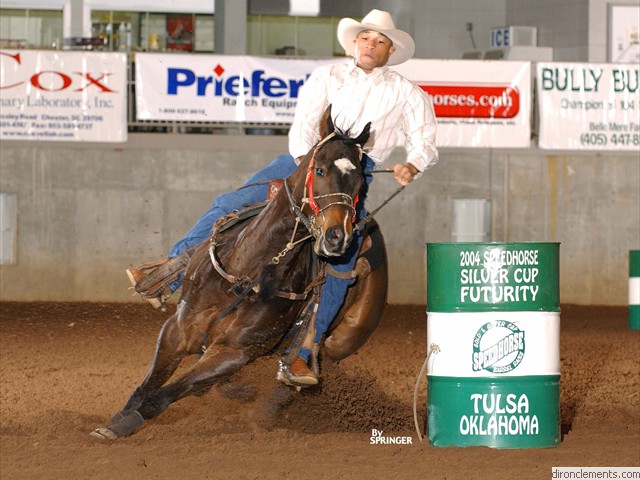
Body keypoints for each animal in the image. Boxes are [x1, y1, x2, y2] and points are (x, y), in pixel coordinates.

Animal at [92, 109, 388, 438]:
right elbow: (147, 386)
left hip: (342, 340)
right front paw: (115, 421)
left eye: (360, 182)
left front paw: (126, 423)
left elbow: (163, 395)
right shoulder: (177, 328)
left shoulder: (235, 352)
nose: (338, 237)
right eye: (321, 170)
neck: (247, 273)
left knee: (284, 386)